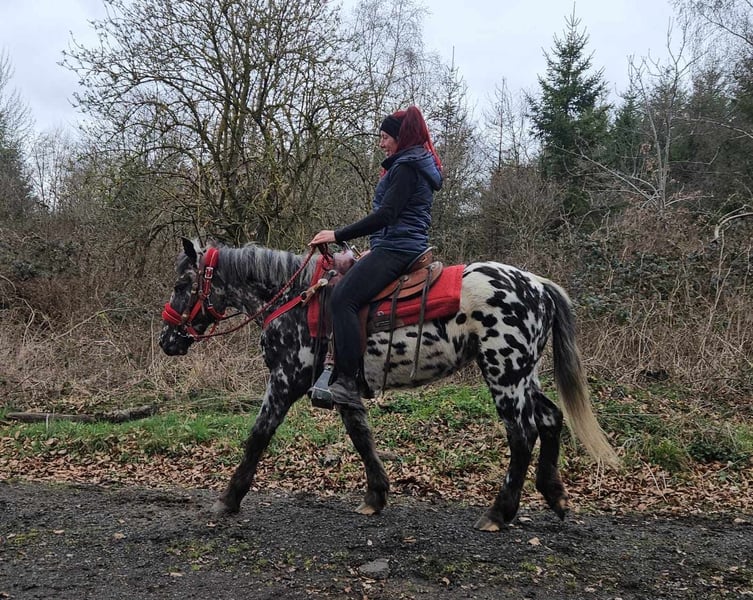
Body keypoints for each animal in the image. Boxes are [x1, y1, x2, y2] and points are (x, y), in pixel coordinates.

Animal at [158, 238, 618, 531]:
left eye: (182, 285)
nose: (167, 341)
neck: (295, 300)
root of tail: (539, 286)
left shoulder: (286, 379)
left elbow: (257, 436)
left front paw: (228, 498)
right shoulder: (341, 387)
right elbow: (361, 437)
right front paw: (376, 495)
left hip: (504, 374)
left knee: (522, 434)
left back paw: (499, 513)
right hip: (524, 375)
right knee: (550, 419)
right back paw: (554, 494)